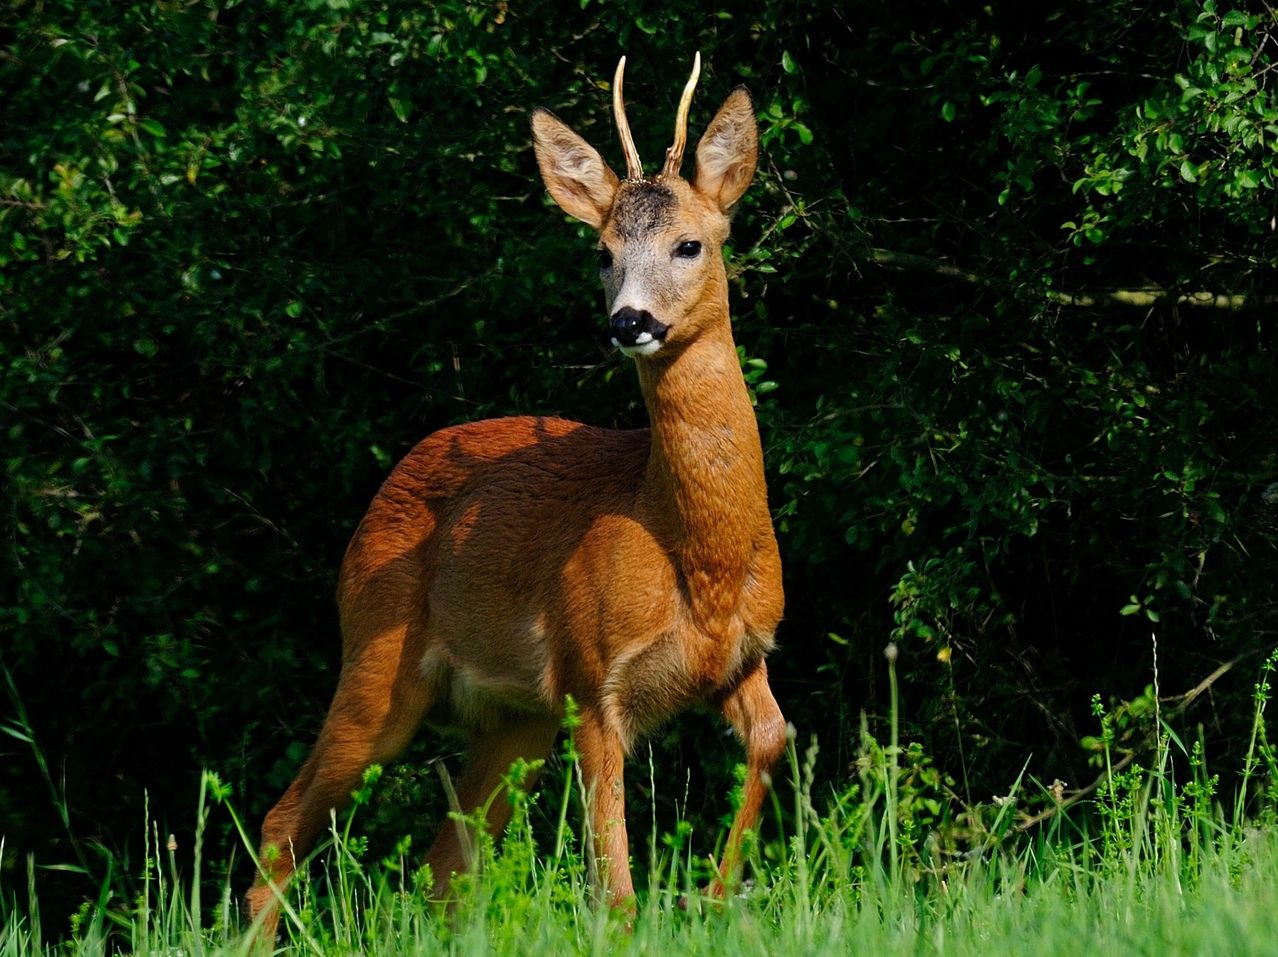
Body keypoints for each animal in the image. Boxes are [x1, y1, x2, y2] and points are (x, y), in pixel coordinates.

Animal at [245, 53, 787, 939]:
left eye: (690, 243)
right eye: (601, 251)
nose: (630, 321)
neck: (694, 548)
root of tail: (387, 483)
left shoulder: (742, 654)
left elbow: (773, 740)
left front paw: (713, 895)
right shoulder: (592, 674)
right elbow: (615, 886)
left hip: (515, 719)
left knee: (445, 859)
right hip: (375, 659)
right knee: (285, 822)